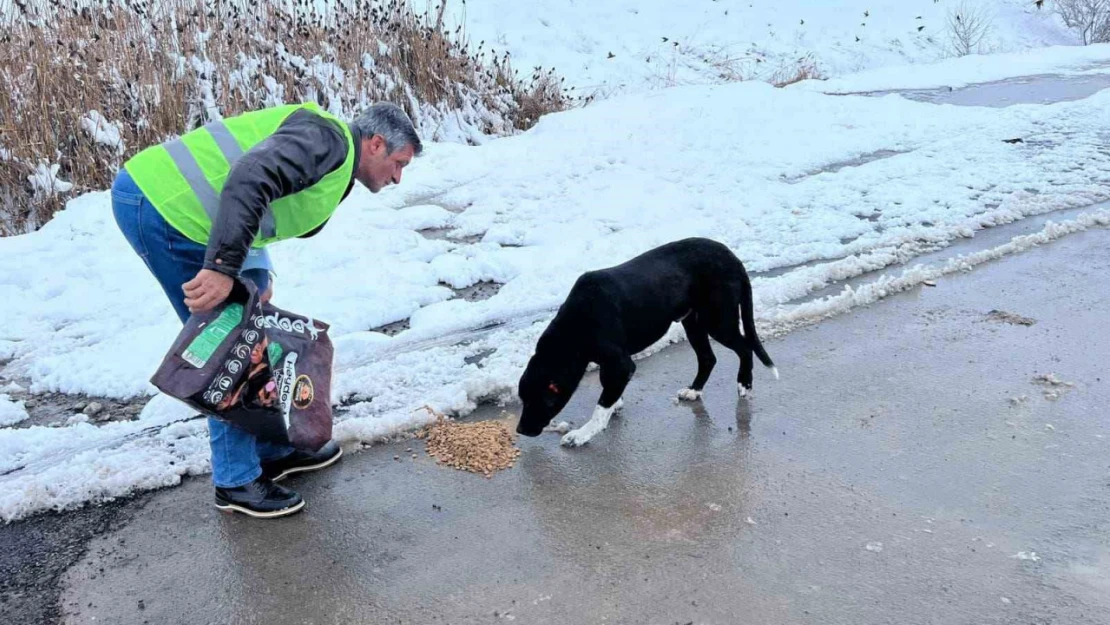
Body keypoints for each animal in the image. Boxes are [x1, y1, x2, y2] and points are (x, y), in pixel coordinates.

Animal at [515, 237, 777, 448]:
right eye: (522, 400)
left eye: (540, 401)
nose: (521, 430)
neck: (574, 329)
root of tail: (733, 258)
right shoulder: (612, 364)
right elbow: (608, 391)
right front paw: (615, 403)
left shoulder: (621, 364)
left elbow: (600, 408)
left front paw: (581, 434)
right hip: (693, 322)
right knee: (708, 358)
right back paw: (694, 390)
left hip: (717, 320)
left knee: (745, 348)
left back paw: (744, 384)